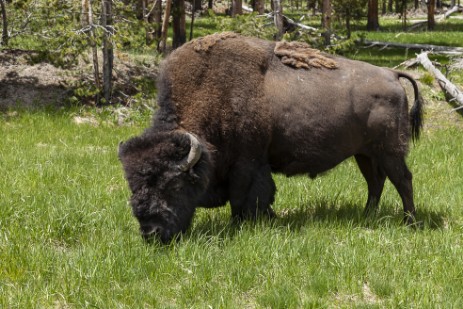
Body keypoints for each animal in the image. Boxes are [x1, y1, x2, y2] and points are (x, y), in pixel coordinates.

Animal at [118, 33, 424, 243]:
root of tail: (392, 74)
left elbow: (244, 197)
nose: (151, 233)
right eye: (133, 186)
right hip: (365, 153)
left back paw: (410, 223)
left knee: (402, 180)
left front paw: (242, 225)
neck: (211, 93)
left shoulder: (247, 164)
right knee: (376, 182)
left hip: (390, 151)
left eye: (172, 185)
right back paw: (367, 216)